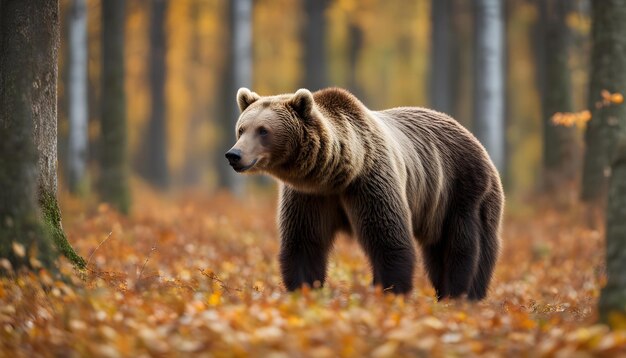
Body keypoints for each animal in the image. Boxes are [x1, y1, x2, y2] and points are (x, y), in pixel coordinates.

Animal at [224, 87, 502, 300]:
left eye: (263, 130)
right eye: (241, 128)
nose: (233, 155)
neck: (335, 174)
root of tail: (472, 137)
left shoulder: (369, 184)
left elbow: (388, 240)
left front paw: (392, 291)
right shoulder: (309, 196)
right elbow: (304, 244)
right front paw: (305, 289)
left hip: (463, 192)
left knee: (463, 246)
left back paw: (463, 294)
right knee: (437, 252)